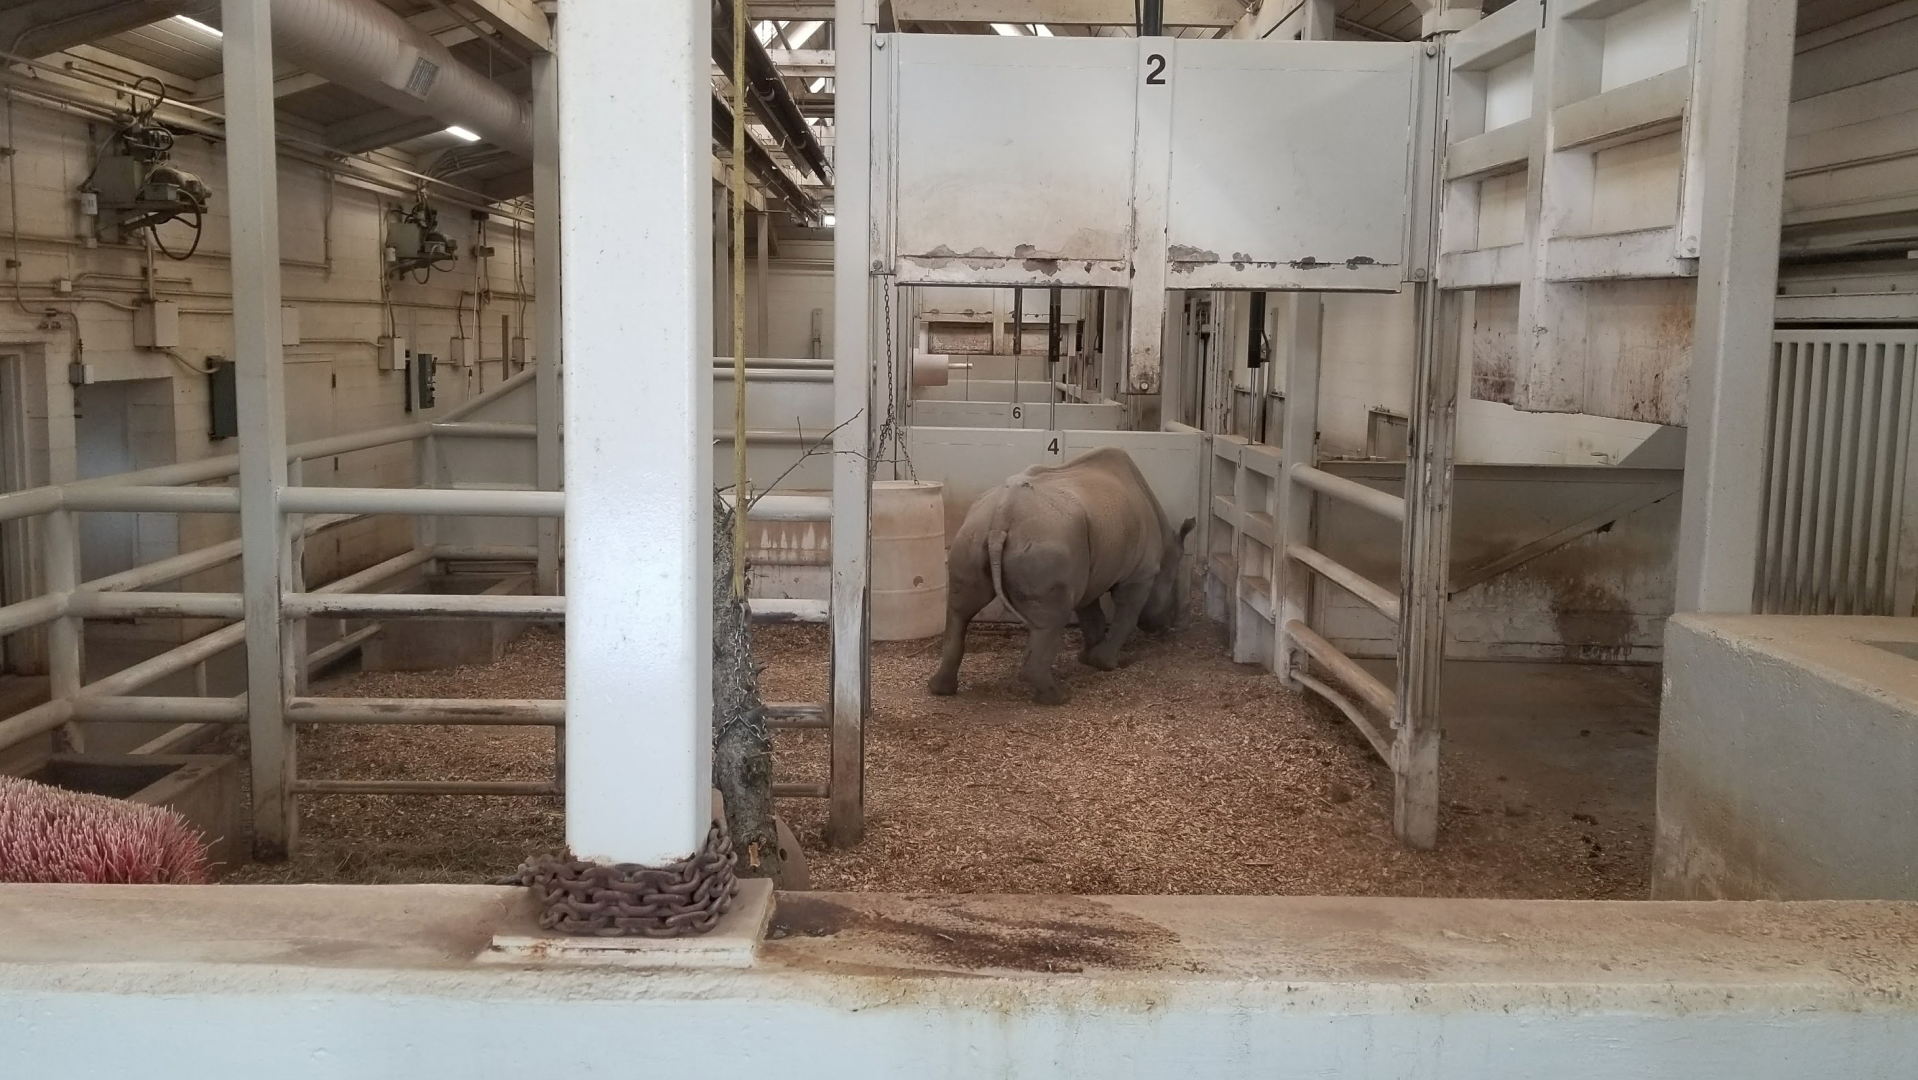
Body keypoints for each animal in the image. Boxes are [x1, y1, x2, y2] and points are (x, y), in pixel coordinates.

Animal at [927, 447, 1194, 705]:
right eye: (1174, 586)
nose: (1164, 627)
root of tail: (1003, 512)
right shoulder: (1141, 573)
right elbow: (1126, 615)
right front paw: (1106, 664)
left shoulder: (1089, 569)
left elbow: (1090, 613)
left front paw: (1087, 658)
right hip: (1045, 541)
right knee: (1051, 620)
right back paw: (1057, 698)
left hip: (973, 532)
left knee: (960, 611)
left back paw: (940, 689)